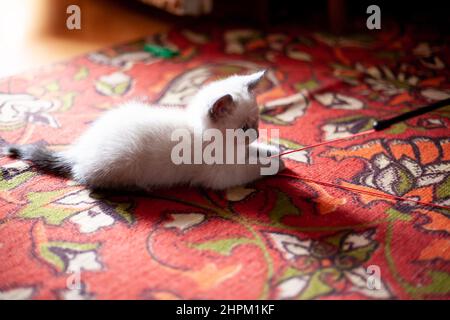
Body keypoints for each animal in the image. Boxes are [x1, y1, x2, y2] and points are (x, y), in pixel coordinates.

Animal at [3, 70, 284, 190]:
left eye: (257, 123)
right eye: (244, 128)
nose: (257, 133)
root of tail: (80, 150)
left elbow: (256, 153)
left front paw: (272, 150)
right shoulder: (221, 175)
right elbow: (251, 168)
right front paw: (276, 163)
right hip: (122, 160)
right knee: (88, 178)